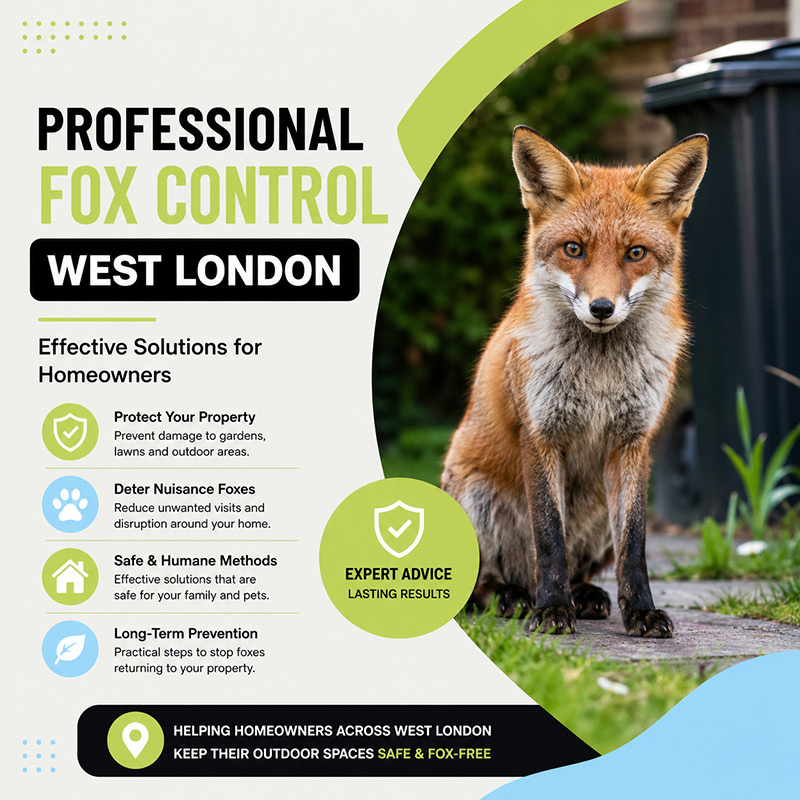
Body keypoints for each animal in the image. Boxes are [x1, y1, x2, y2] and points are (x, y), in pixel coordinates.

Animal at [441, 126, 708, 637]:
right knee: (479, 586)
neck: (599, 376)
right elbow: (549, 537)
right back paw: (514, 596)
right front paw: (551, 609)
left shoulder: (633, 442)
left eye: (635, 253)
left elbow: (634, 547)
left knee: (587, 565)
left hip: (600, 510)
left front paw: (640, 611)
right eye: (573, 249)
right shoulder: (541, 434)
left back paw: (585, 595)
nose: (601, 308)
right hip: (474, 498)